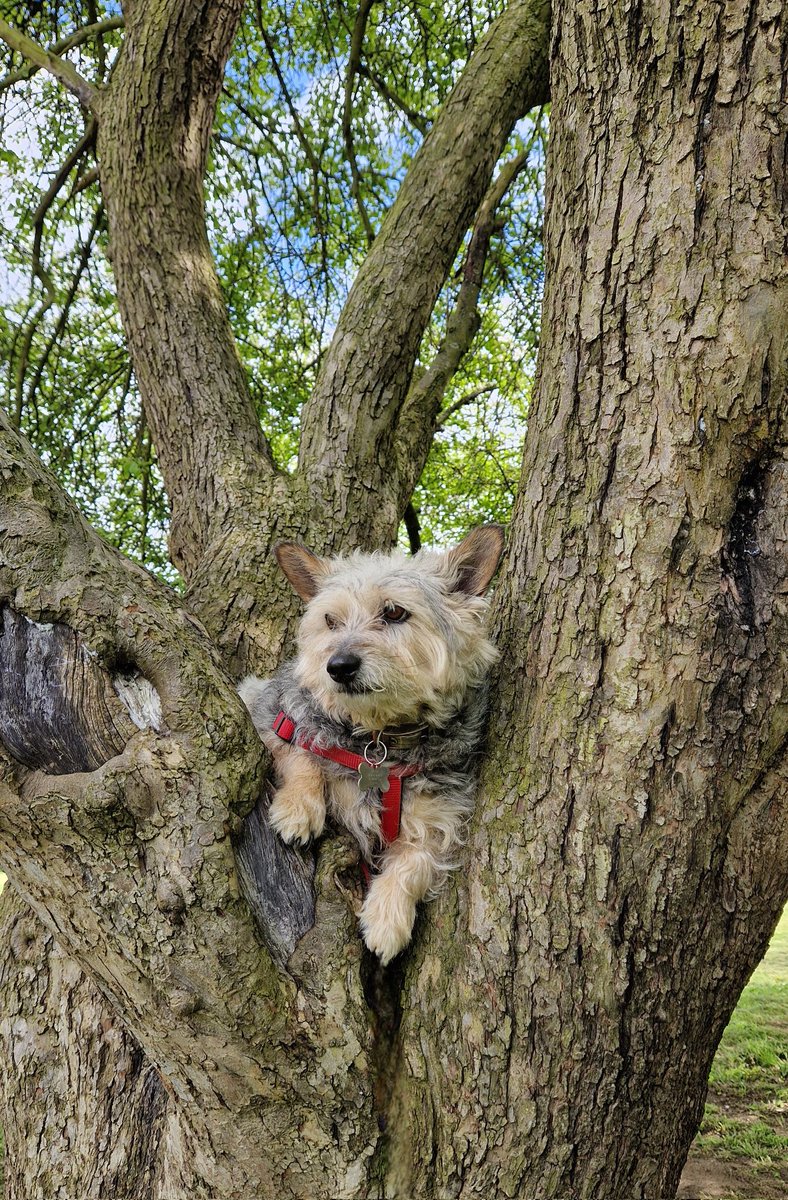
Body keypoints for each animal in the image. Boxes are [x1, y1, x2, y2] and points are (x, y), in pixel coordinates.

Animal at [236, 525, 503, 964]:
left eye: (394, 612)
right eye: (330, 620)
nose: (338, 667)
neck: (379, 743)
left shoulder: (441, 815)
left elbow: (415, 860)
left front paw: (386, 919)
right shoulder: (267, 713)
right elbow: (301, 753)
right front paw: (298, 808)